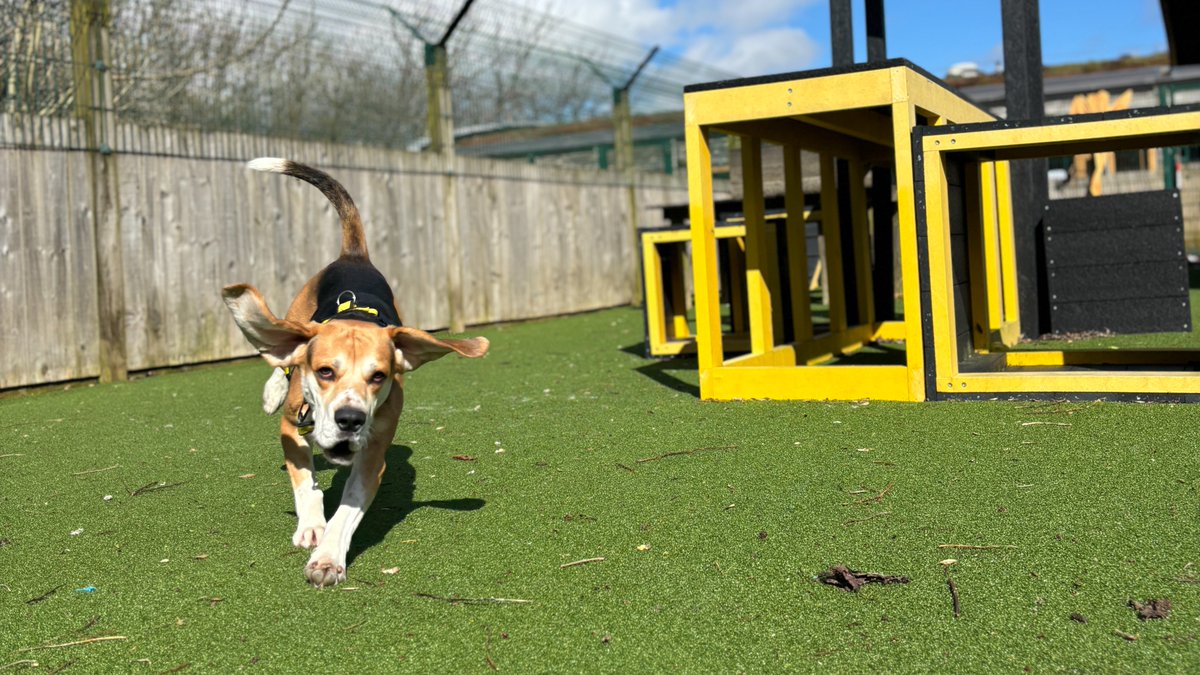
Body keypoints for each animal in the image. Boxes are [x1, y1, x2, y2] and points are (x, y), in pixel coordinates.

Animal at [223, 157, 489, 583]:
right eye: (325, 372)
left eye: (378, 376)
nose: (350, 419)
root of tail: (354, 258)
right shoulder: (291, 428)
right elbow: (305, 484)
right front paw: (311, 525)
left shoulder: (372, 457)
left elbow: (348, 509)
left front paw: (329, 556)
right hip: (296, 320)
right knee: (283, 353)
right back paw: (273, 389)